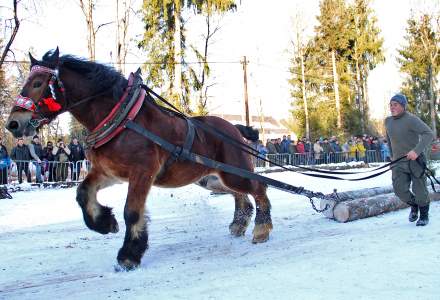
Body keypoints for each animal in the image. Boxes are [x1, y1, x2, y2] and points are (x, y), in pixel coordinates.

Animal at [6, 48, 272, 270]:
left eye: (38, 83)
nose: (13, 123)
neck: (121, 119)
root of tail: (234, 128)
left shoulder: (143, 172)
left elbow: (132, 211)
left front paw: (128, 255)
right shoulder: (108, 172)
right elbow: (83, 193)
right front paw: (105, 223)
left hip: (234, 173)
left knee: (259, 188)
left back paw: (261, 228)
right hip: (212, 179)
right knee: (242, 197)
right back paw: (239, 224)